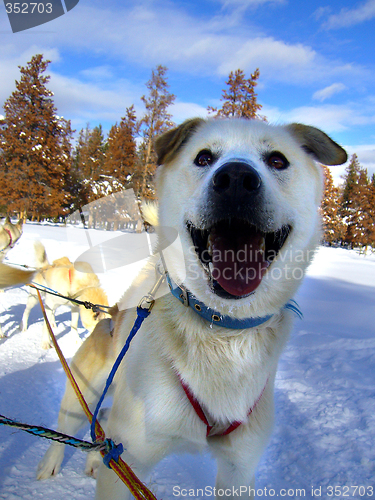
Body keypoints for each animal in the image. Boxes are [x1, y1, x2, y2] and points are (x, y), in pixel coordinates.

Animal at [36, 117, 348, 496]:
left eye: (277, 160)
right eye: (203, 157)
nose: (236, 179)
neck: (220, 327)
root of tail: (114, 314)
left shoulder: (239, 469)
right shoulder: (130, 456)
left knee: (103, 428)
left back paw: (95, 459)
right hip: (84, 391)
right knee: (71, 423)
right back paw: (50, 464)